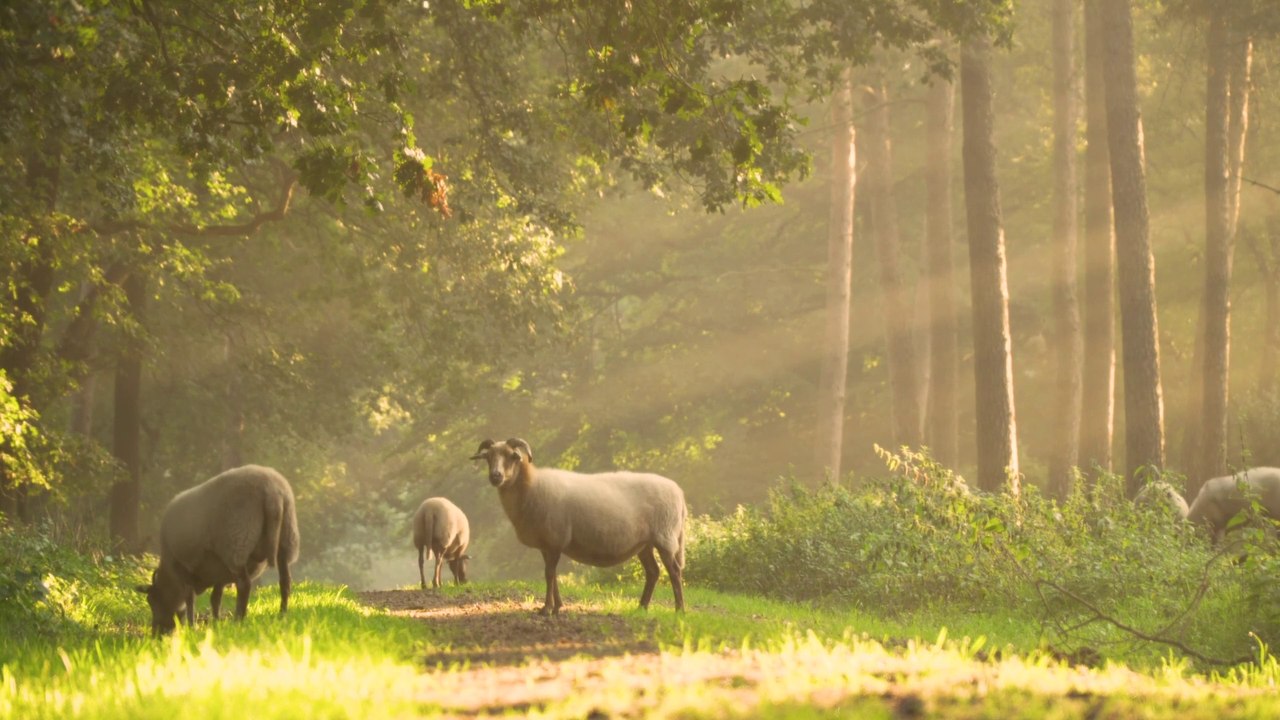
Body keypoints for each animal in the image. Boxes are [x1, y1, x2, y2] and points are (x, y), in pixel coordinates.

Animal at [135, 464, 300, 635]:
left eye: (152, 601)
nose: (156, 633)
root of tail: (272, 491)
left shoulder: (182, 566)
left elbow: (190, 597)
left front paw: (192, 626)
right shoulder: (220, 572)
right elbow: (215, 598)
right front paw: (215, 622)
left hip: (237, 543)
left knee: (244, 585)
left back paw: (238, 620)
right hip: (287, 537)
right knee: (285, 581)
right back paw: (282, 614)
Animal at [469, 437, 687, 615]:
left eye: (511, 456)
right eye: (488, 457)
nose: (495, 476)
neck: (530, 486)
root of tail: (679, 492)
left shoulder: (555, 539)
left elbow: (549, 574)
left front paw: (547, 609)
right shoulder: (547, 544)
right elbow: (552, 575)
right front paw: (557, 607)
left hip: (665, 537)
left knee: (675, 572)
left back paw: (680, 610)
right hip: (644, 543)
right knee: (653, 572)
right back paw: (641, 608)